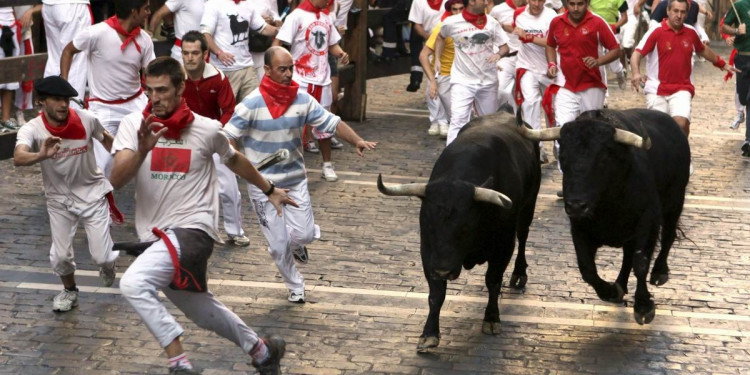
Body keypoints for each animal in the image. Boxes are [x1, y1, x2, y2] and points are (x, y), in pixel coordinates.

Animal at [378, 114, 544, 352]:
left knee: (523, 236)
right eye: (429, 226)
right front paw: (429, 333)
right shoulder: (428, 252)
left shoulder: (503, 246)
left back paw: (519, 273)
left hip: (528, 207)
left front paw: (491, 319)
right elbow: (436, 294)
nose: (443, 271)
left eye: (465, 227)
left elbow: (493, 281)